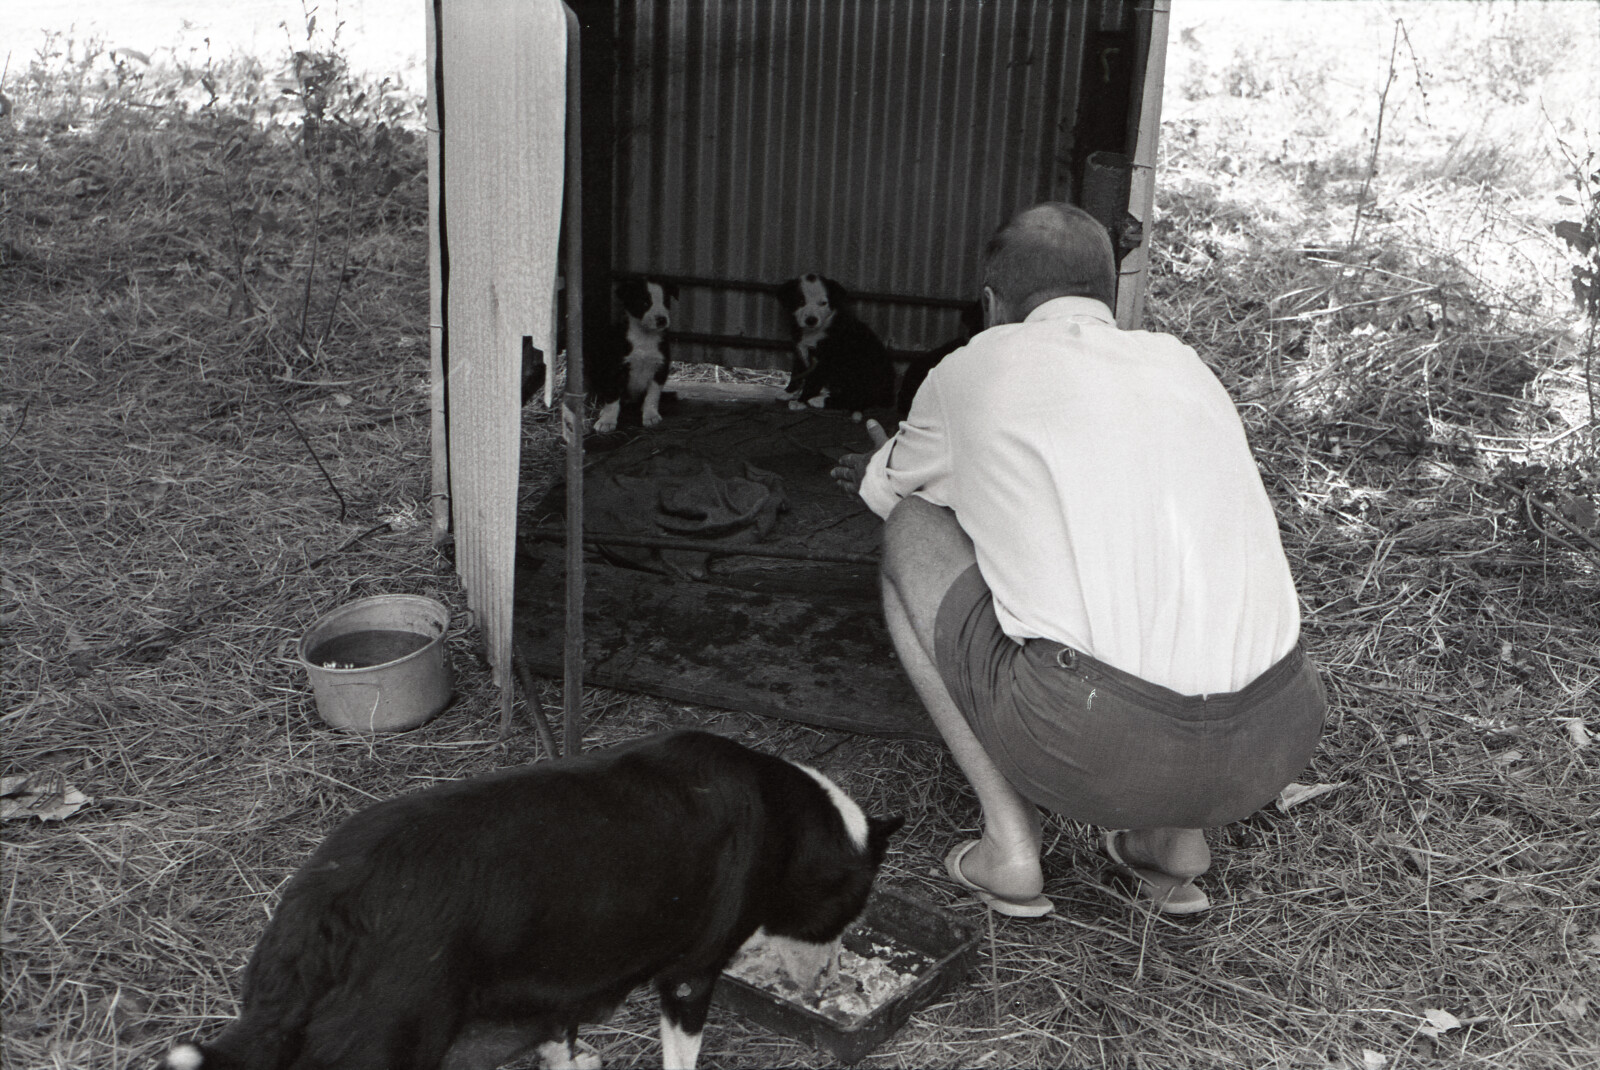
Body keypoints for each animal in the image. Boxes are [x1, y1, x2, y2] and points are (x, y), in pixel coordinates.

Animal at [160, 726, 902, 1068]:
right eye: (850, 913)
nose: (827, 982)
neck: (788, 821)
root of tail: (328, 900)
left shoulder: (565, 982)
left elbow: (560, 1039)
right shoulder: (691, 976)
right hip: (387, 1040)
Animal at [595, 281, 681, 435]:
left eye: (666, 302)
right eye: (645, 302)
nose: (662, 319)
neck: (644, 337)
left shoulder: (660, 367)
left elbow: (653, 395)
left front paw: (650, 415)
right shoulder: (615, 369)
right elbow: (612, 397)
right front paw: (607, 421)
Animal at [777, 273, 902, 419]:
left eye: (823, 303)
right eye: (800, 301)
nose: (811, 320)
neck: (814, 332)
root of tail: (889, 395)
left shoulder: (824, 361)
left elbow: (812, 382)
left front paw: (801, 400)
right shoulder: (800, 350)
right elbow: (797, 373)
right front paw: (789, 392)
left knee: (857, 398)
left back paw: (819, 400)